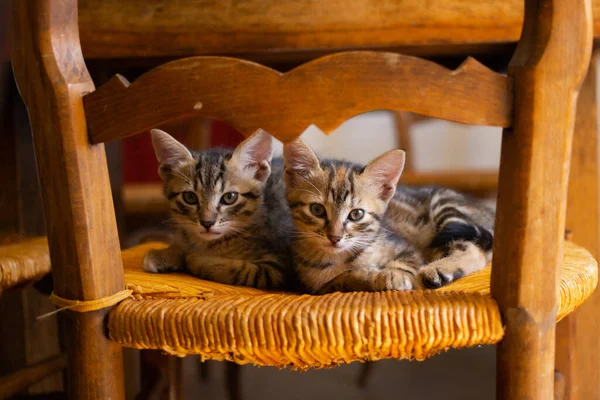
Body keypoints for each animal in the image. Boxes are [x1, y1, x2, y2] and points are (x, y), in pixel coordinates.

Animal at [141, 130, 290, 290]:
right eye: (190, 197)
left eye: (230, 197)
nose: (207, 223)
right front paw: (164, 254)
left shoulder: (276, 268)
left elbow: (239, 270)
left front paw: (196, 258)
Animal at [284, 139, 494, 296]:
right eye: (317, 209)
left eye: (356, 214)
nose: (334, 237)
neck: (340, 258)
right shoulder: (317, 287)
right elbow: (342, 278)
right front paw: (366, 276)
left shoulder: (407, 248)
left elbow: (406, 262)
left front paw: (393, 274)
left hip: (443, 206)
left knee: (473, 250)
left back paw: (439, 270)